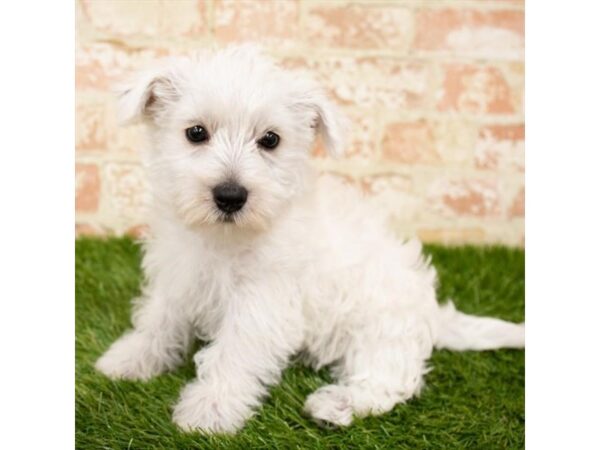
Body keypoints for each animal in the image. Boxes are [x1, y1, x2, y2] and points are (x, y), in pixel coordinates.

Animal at [95, 44, 524, 432]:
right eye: (196, 133)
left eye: (270, 140)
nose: (230, 196)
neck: (223, 237)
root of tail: (433, 313)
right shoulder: (178, 276)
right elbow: (158, 320)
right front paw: (129, 359)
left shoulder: (263, 303)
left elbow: (234, 353)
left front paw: (210, 409)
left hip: (381, 328)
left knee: (389, 382)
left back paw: (335, 406)